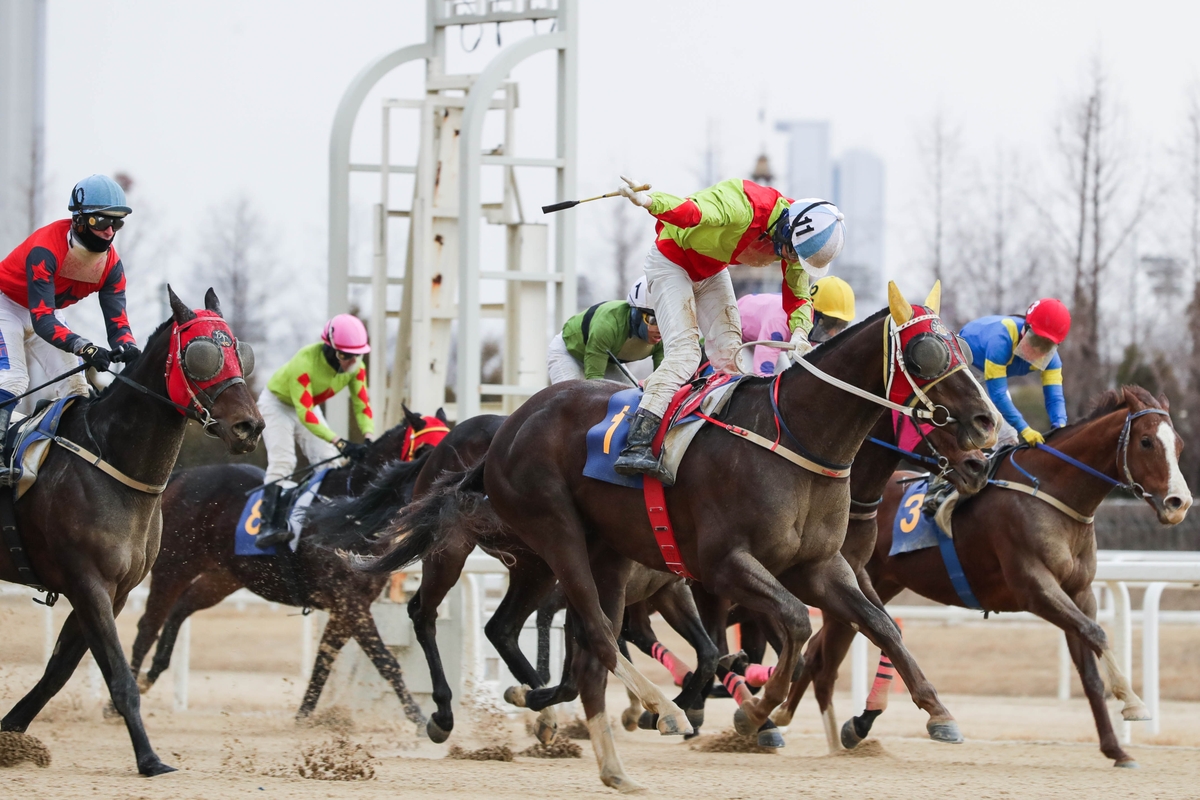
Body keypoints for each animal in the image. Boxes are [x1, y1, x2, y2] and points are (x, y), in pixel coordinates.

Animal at [130, 407, 451, 724]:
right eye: (425, 449)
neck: (355, 513)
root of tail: (181, 477)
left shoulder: (346, 607)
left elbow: (324, 659)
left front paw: (302, 716)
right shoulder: (350, 602)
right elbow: (386, 661)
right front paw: (420, 719)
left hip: (223, 577)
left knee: (180, 608)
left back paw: (153, 672)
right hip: (173, 566)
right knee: (148, 624)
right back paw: (127, 693)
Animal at [352, 284, 993, 791]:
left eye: (965, 348)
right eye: (929, 351)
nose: (988, 432)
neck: (794, 440)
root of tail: (507, 426)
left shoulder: (817, 566)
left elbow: (877, 624)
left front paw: (936, 711)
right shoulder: (722, 565)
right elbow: (789, 624)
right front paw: (755, 712)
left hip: (577, 558)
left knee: (548, 637)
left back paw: (605, 754)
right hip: (539, 533)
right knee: (542, 628)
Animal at [787, 388, 1190, 767]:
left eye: (1180, 444)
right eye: (1146, 441)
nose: (1179, 503)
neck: (1052, 492)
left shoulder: (1079, 593)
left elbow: (1090, 670)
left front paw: (1116, 750)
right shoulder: (1035, 588)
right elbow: (1097, 633)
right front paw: (1133, 701)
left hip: (874, 586)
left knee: (826, 654)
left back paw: (837, 731)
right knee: (821, 656)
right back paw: (788, 724)